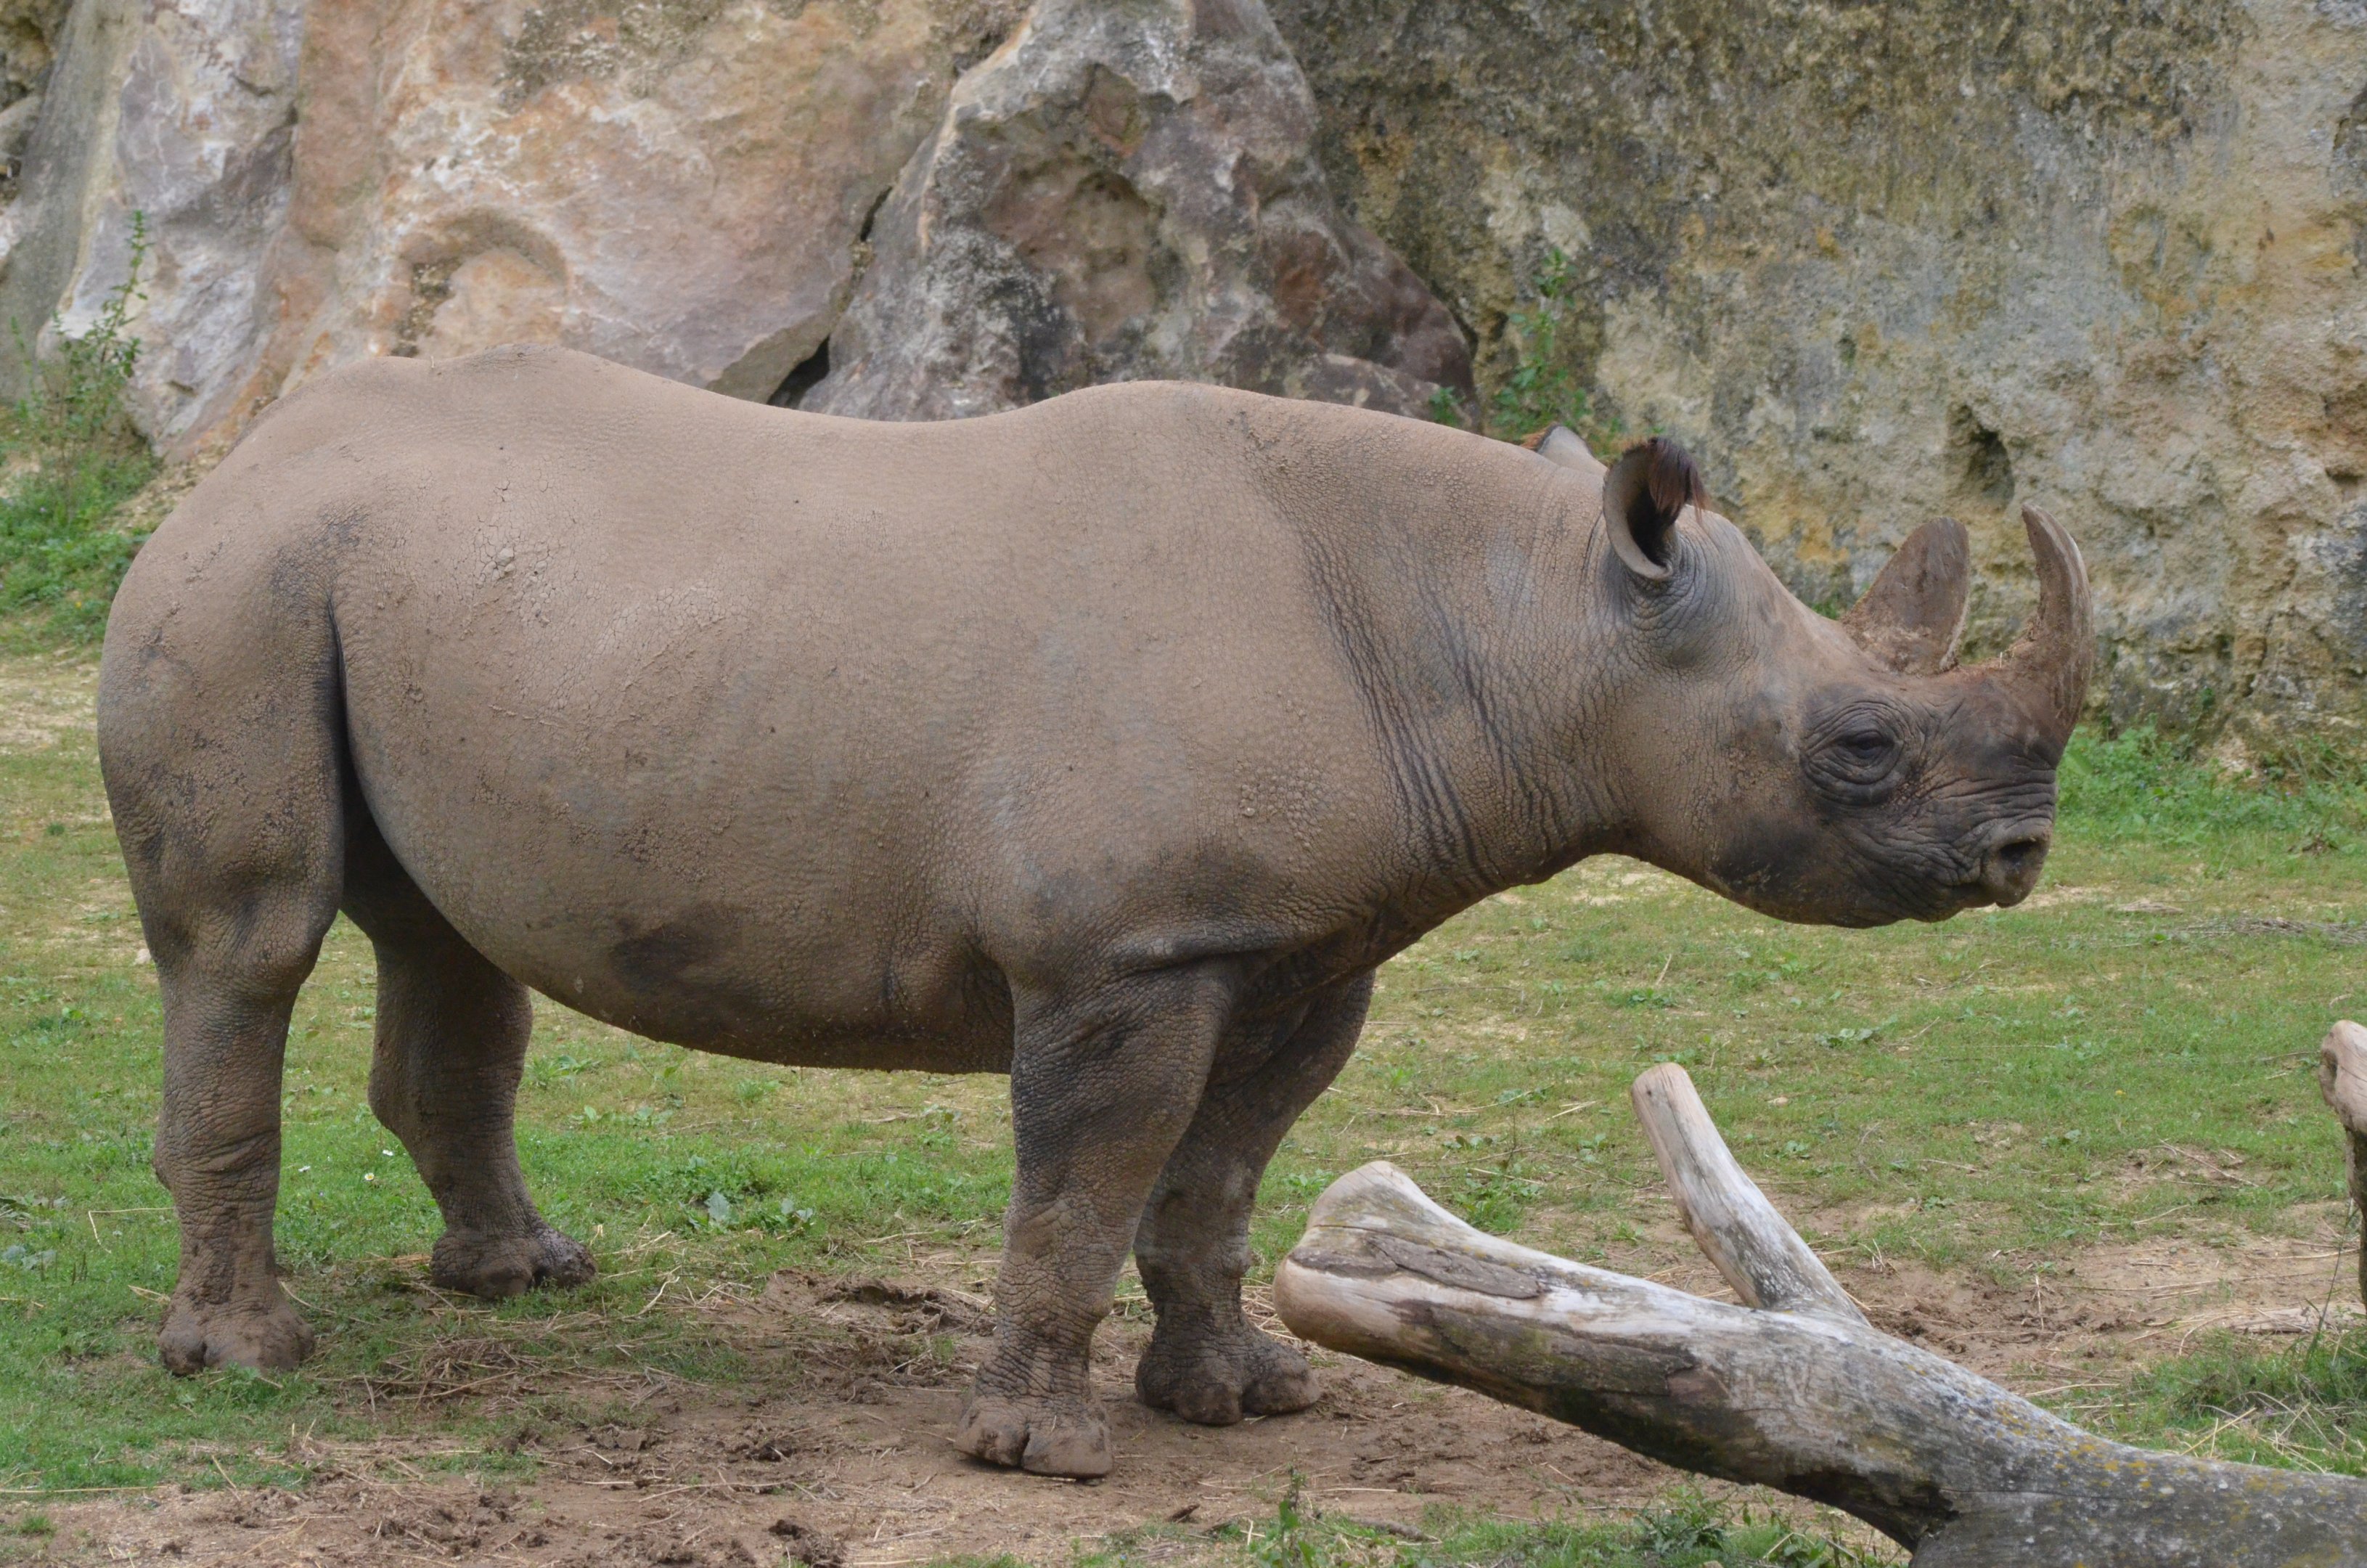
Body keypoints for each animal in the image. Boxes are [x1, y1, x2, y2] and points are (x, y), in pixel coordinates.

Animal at [98, 345, 2090, 1478]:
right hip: (244, 585)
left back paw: (522, 1279)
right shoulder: (1123, 949)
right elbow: (1085, 1181)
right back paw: (246, 1360)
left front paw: (1242, 1397)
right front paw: (1039, 1455)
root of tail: (248, 450)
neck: (1519, 621)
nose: (2016, 858)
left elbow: (1212, 1184)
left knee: (446, 941)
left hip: (400, 585)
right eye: (1855, 750)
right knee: (251, 940)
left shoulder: (1294, 941)